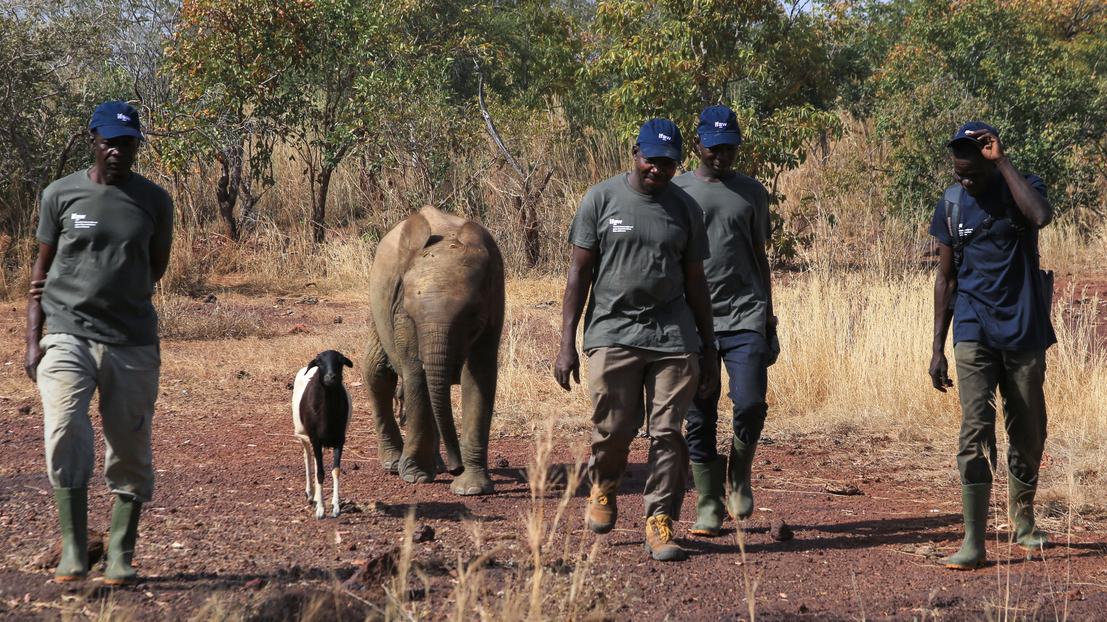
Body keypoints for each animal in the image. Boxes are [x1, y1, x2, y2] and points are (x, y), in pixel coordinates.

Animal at [292, 349, 352, 517]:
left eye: (341, 360)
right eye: (319, 361)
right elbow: (320, 472)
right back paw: (310, 495)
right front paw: (320, 509)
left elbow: (335, 470)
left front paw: (335, 507)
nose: (331, 377)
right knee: (307, 458)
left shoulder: (339, 439)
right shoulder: (315, 439)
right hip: (304, 435)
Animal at [363, 204, 507, 493]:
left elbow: (479, 376)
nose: (456, 467)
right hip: (377, 310)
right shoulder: (400, 316)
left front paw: (471, 488)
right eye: (410, 312)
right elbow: (416, 373)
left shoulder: (495, 303)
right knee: (378, 373)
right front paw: (415, 476)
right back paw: (395, 463)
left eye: (472, 313)